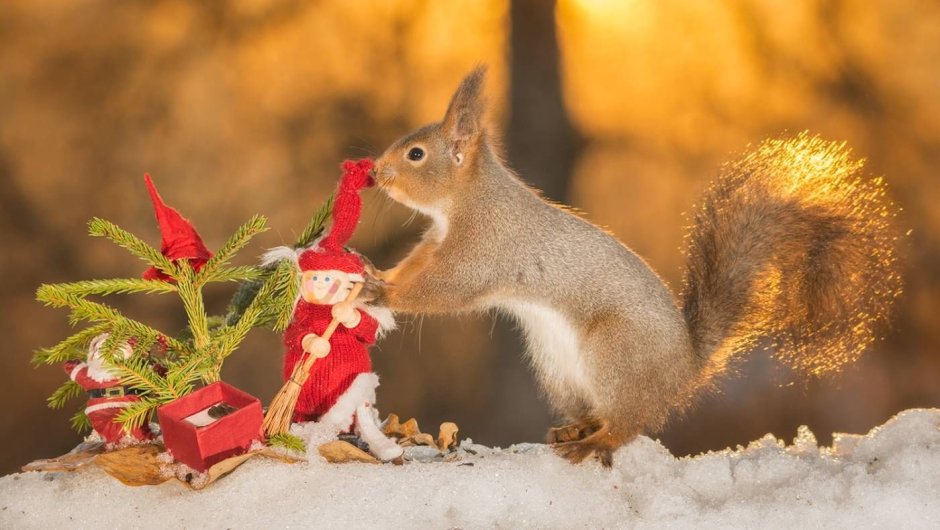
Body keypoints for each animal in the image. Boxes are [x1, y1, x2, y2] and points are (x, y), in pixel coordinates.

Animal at [366, 67, 896, 466]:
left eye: (416, 154)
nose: (375, 172)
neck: (466, 202)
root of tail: (684, 367)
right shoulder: (434, 245)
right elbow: (413, 269)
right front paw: (377, 275)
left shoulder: (482, 251)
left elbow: (443, 290)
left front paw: (382, 293)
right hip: (558, 368)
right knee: (605, 413)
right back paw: (577, 428)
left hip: (615, 353)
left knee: (627, 424)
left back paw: (591, 444)